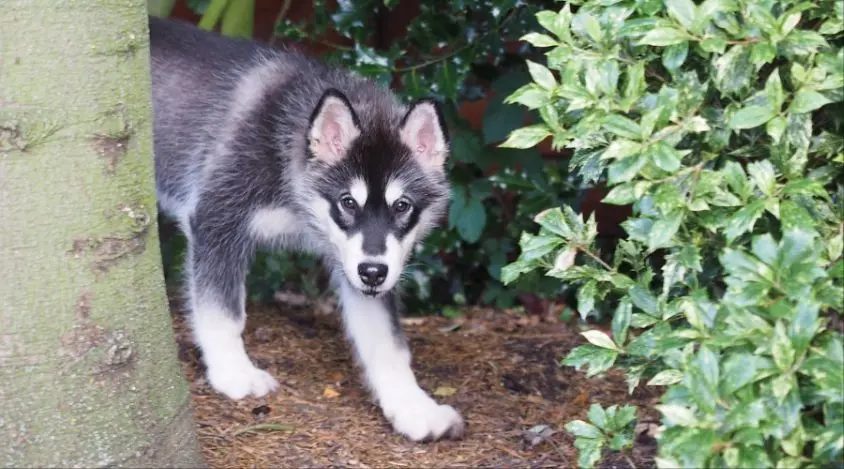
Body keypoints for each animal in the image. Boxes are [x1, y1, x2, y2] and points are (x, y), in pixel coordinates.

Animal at [148, 16, 464, 440]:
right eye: (348, 202)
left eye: (402, 206)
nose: (374, 273)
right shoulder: (217, 218)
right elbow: (223, 312)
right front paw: (233, 372)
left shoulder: (357, 263)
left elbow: (388, 344)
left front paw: (412, 406)